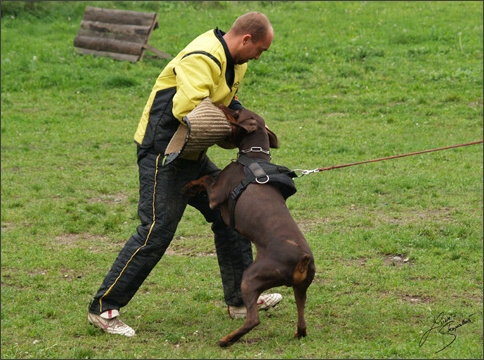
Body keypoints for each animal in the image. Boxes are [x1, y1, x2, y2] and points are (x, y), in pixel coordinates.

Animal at [183, 105, 316, 346]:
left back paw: (226, 340)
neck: (254, 156)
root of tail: (302, 258)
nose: (230, 105)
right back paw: (296, 333)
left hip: (251, 278)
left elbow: (206, 179)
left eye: (238, 113)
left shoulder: (216, 196)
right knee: (302, 322)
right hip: (301, 288)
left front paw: (189, 186)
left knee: (253, 320)